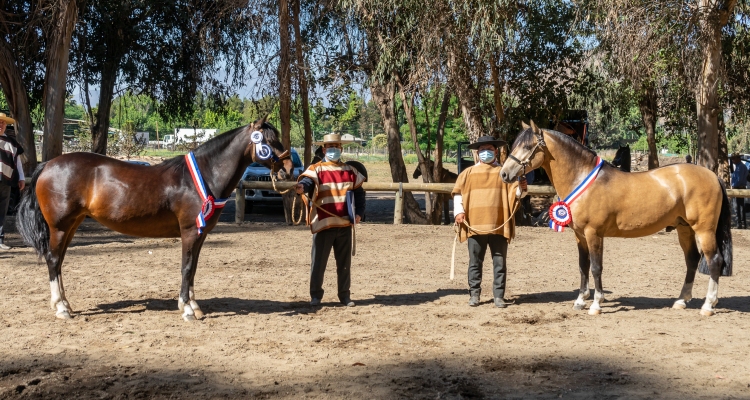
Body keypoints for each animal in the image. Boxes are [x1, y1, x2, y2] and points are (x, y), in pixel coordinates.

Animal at [16, 118, 294, 322]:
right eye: (269, 140)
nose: (289, 168)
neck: (202, 176)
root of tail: (48, 165)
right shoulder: (190, 231)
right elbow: (186, 267)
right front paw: (187, 310)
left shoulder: (200, 234)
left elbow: (193, 269)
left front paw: (193, 304)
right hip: (59, 226)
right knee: (53, 260)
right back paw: (62, 309)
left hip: (71, 226)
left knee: (59, 261)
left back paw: (65, 304)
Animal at [500, 121, 736, 316]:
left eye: (528, 146)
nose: (504, 174)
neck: (583, 178)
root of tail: (712, 176)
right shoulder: (580, 235)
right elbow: (583, 265)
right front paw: (580, 300)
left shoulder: (593, 233)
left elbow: (596, 267)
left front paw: (595, 305)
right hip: (684, 228)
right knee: (692, 260)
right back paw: (681, 301)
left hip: (704, 230)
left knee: (714, 260)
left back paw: (708, 305)